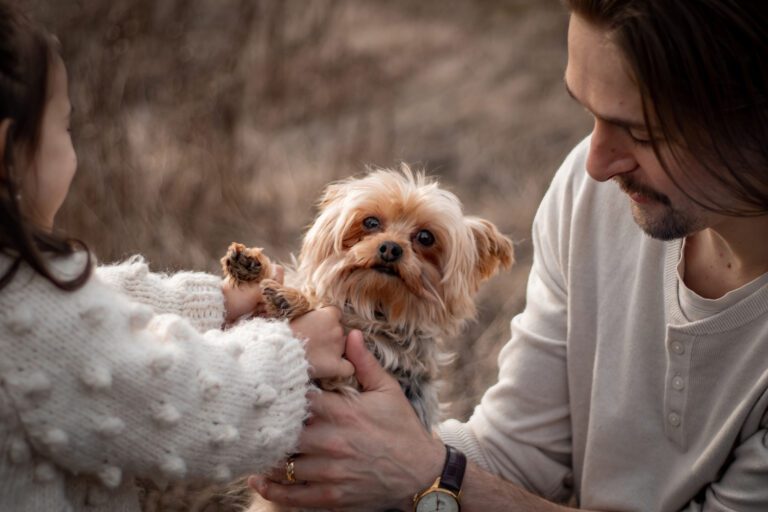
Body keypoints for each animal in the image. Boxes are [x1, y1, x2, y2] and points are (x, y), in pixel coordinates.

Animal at [219, 166, 512, 510]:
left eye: (426, 237)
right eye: (371, 222)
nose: (390, 248)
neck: (370, 305)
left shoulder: (354, 378)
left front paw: (289, 299)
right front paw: (256, 270)